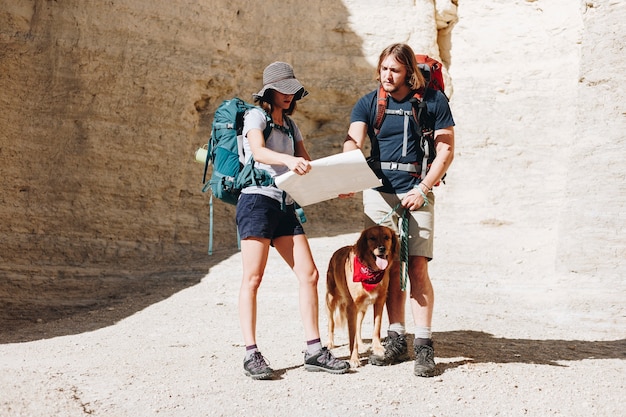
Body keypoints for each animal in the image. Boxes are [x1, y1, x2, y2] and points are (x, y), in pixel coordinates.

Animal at [324, 226, 398, 366]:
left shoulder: (380, 301)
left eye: (387, 237)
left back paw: (361, 343)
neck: (370, 271)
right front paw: (354, 358)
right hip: (331, 300)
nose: (382, 248)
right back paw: (329, 342)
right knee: (331, 322)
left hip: (362, 308)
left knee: (358, 326)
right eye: (372, 238)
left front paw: (377, 348)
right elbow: (351, 335)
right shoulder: (351, 306)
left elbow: (376, 327)